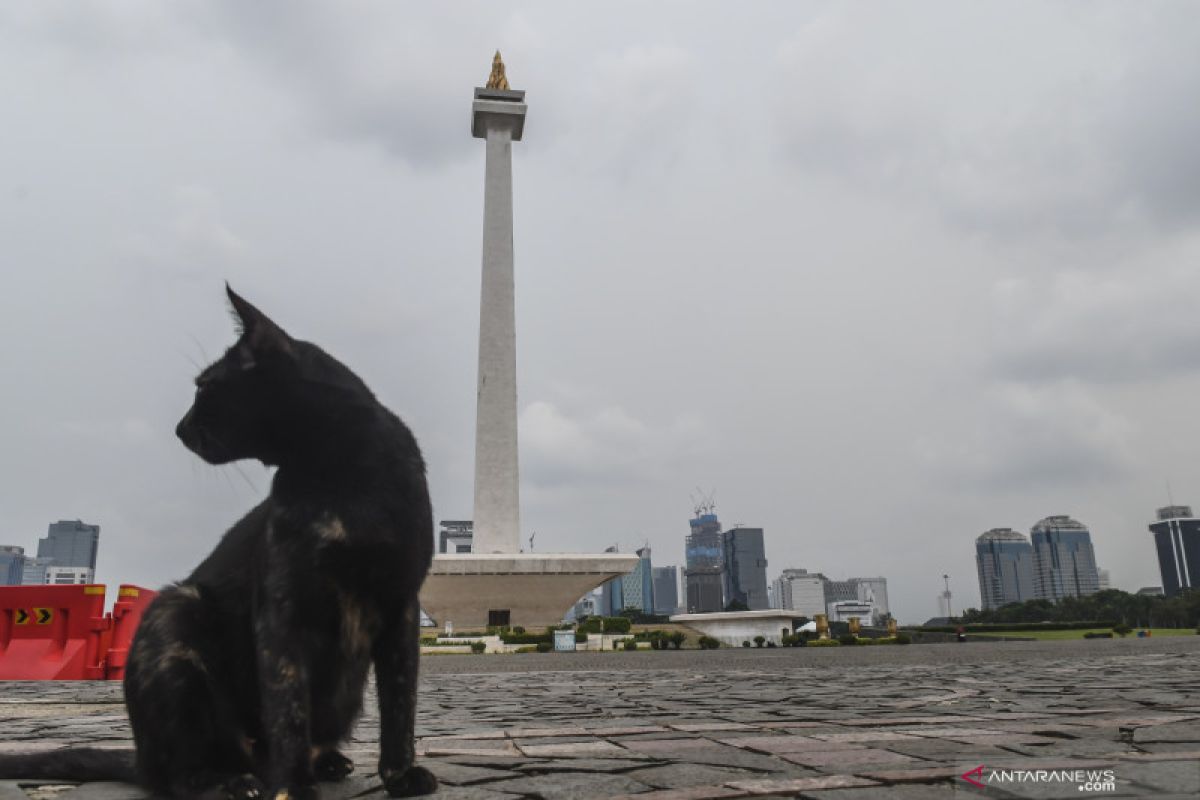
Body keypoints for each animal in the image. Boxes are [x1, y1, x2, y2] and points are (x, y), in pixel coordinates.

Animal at [0, 289, 439, 800]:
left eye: (205, 386)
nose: (179, 427)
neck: (341, 470)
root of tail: (141, 758)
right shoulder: (282, 605)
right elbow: (288, 707)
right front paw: (294, 787)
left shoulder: (402, 602)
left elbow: (400, 702)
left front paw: (400, 774)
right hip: (175, 616)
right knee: (181, 772)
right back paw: (235, 781)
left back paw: (326, 762)